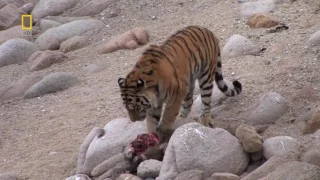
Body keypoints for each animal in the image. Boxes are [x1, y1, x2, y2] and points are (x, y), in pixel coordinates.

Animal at [118, 24, 242, 160]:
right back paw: (182, 117)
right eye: (126, 108)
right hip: (189, 80)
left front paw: (163, 133)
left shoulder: (175, 96)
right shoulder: (154, 104)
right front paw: (152, 137)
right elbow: (152, 122)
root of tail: (207, 30)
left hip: (205, 76)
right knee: (189, 101)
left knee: (206, 99)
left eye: (134, 107)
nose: (133, 120)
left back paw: (204, 118)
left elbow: (168, 117)